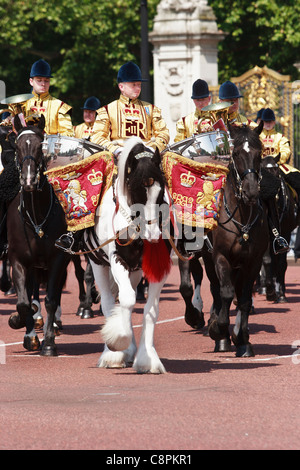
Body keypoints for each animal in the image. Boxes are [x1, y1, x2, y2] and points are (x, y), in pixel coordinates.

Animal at [7, 114, 71, 356]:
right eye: (16, 147)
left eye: (40, 146)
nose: (28, 181)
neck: (36, 217)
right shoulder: (18, 260)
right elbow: (23, 303)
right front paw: (22, 326)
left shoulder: (59, 258)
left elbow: (51, 299)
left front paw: (49, 343)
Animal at [85, 137, 172, 374]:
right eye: (136, 189)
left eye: (161, 190)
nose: (154, 235)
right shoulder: (118, 260)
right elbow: (125, 300)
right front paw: (118, 343)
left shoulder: (157, 268)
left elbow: (150, 310)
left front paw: (147, 358)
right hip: (98, 264)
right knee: (109, 301)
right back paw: (113, 353)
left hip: (135, 270)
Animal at [206, 121, 270, 356]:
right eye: (235, 153)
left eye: (259, 153)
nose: (251, 192)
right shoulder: (220, 256)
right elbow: (225, 292)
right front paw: (219, 329)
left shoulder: (253, 261)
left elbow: (244, 299)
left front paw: (243, 340)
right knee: (217, 290)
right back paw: (220, 334)